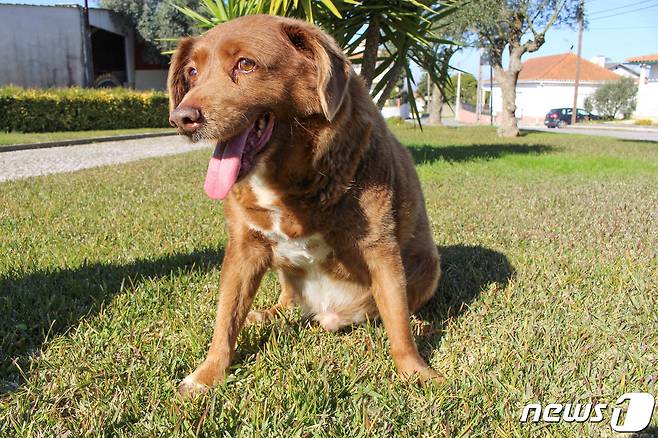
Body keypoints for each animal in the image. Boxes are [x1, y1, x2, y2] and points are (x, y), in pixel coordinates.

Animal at [167, 14, 438, 396]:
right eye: (192, 72)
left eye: (245, 64)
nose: (181, 119)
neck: (286, 180)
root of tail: (329, 314)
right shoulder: (244, 248)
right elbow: (225, 319)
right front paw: (207, 374)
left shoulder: (380, 248)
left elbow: (397, 323)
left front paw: (417, 372)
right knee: (286, 301)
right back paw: (265, 314)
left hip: (429, 266)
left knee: (399, 307)